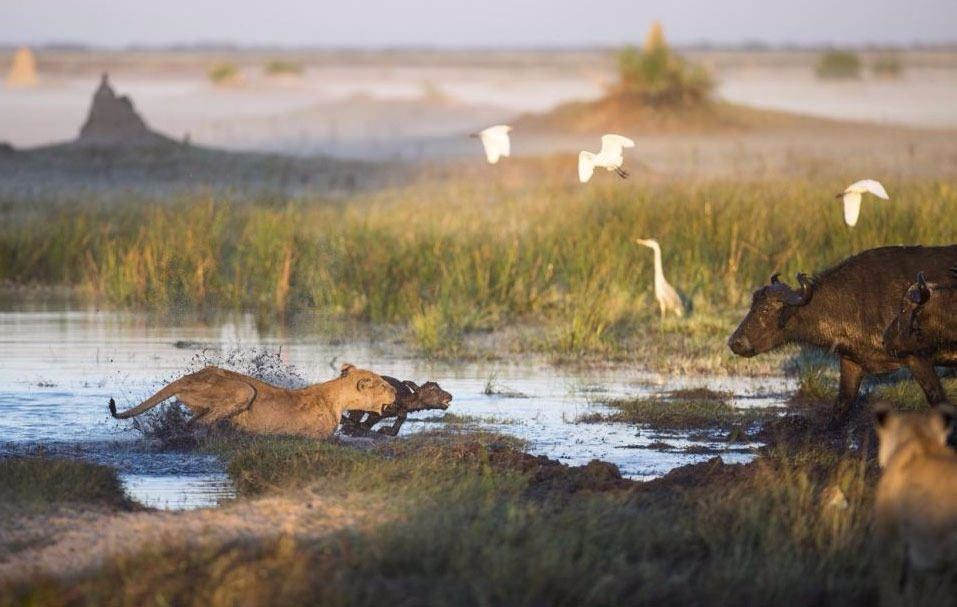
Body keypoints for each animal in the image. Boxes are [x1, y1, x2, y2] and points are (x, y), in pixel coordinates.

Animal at [728, 245, 956, 426]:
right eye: (752, 305)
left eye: (765, 309)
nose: (734, 342)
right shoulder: (850, 362)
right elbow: (841, 406)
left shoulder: (917, 358)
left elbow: (938, 399)